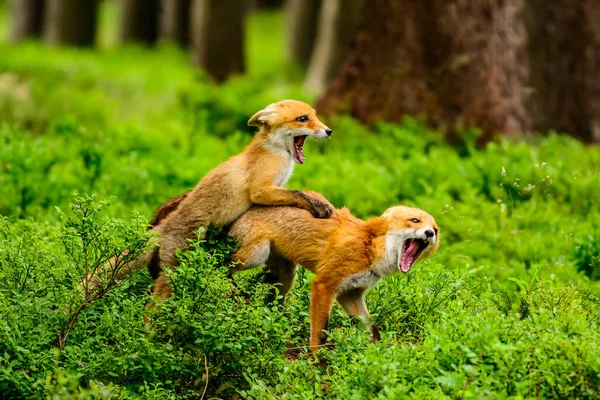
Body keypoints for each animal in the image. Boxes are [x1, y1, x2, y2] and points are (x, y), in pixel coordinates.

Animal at [227, 191, 438, 350]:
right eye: (415, 220)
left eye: (435, 229)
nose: (429, 233)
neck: (370, 248)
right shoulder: (325, 284)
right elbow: (320, 333)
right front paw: (315, 360)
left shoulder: (351, 293)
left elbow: (372, 329)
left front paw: (377, 355)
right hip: (254, 255)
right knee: (223, 264)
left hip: (285, 276)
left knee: (269, 299)